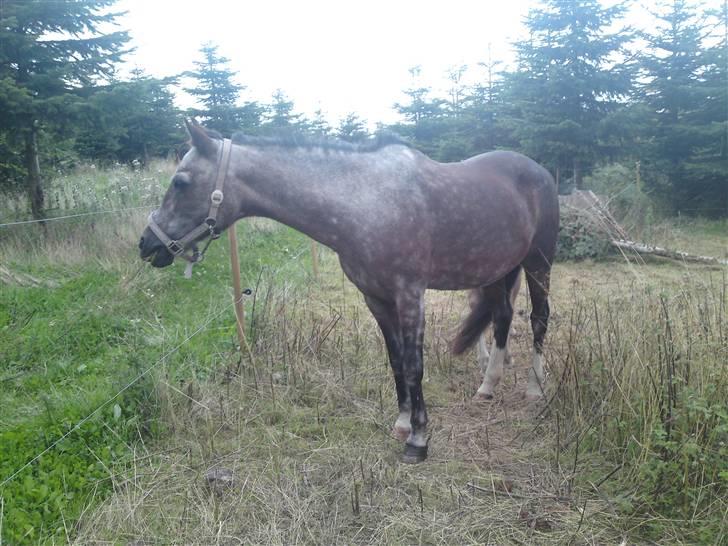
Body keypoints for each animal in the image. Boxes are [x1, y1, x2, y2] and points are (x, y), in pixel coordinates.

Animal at [138, 119, 556, 460]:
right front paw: (402, 423)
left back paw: (535, 389)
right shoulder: (376, 299)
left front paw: (418, 440)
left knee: (538, 318)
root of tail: (540, 171)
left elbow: (414, 365)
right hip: (498, 271)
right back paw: (487, 386)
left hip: (538, 263)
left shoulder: (409, 295)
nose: (147, 244)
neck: (365, 203)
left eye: (180, 182)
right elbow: (396, 362)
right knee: (502, 318)